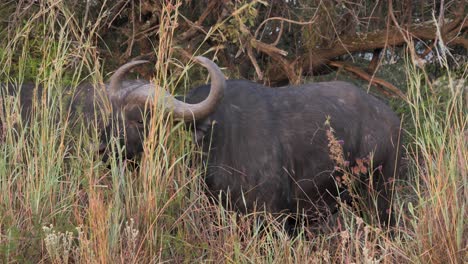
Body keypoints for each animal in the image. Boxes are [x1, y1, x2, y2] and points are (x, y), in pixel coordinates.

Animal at [103, 56, 402, 229]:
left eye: (139, 120)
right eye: (113, 114)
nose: (103, 150)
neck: (215, 140)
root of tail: (391, 119)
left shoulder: (269, 217)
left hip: (380, 197)